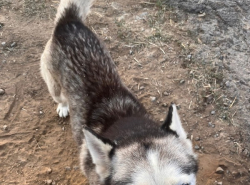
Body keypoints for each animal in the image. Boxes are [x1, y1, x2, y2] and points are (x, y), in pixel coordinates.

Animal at [40, 0, 197, 184]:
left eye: (184, 184)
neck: (132, 129)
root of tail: (68, 22)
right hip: (54, 86)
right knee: (59, 97)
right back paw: (63, 107)